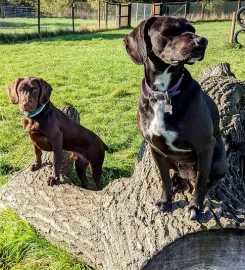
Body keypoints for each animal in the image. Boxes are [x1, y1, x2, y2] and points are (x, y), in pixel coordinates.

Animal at [124, 16, 228, 219]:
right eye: (168, 31)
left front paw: (195, 206)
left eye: (192, 29)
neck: (164, 93)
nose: (202, 41)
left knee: (205, 178)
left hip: (219, 161)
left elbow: (200, 183)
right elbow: (164, 179)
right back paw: (177, 182)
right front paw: (165, 201)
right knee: (177, 175)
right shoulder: (155, 148)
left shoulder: (205, 146)